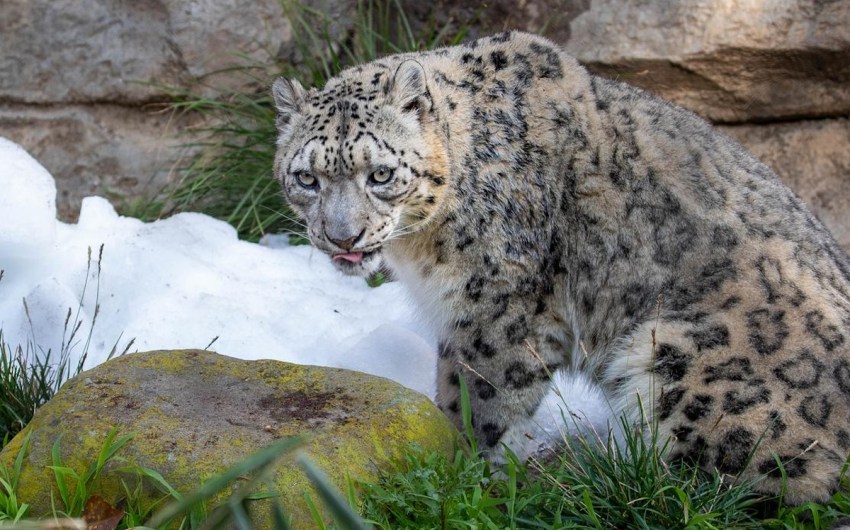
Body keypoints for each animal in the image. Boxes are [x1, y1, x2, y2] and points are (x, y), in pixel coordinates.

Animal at [270, 31, 848, 502]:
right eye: (306, 178)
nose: (342, 236)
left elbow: (482, 399)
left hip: (680, 358)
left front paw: (464, 466)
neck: (420, 247)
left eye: (381, 173)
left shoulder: (497, 309)